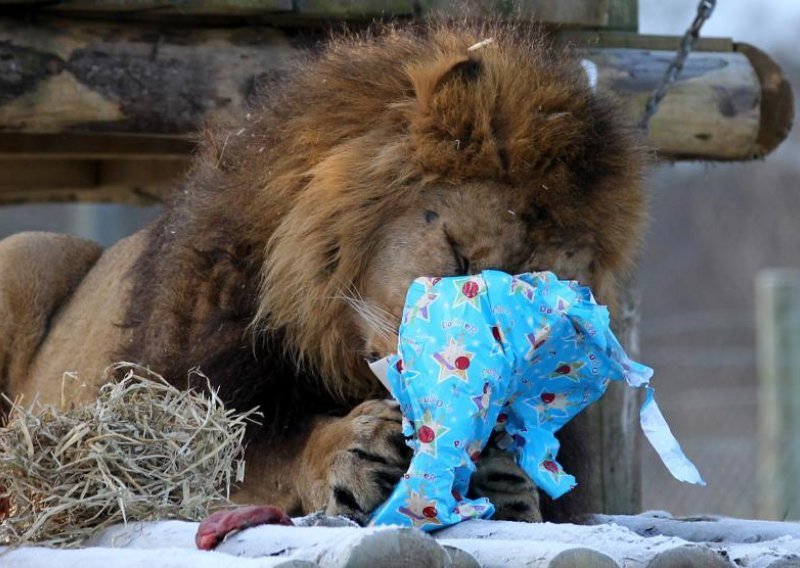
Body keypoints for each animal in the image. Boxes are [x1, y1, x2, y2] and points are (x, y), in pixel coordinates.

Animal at [0, 22, 644, 528]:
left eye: (545, 320)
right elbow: (255, 456)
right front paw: (349, 453)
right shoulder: (169, 422)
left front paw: (507, 482)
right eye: (459, 258)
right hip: (26, 253)